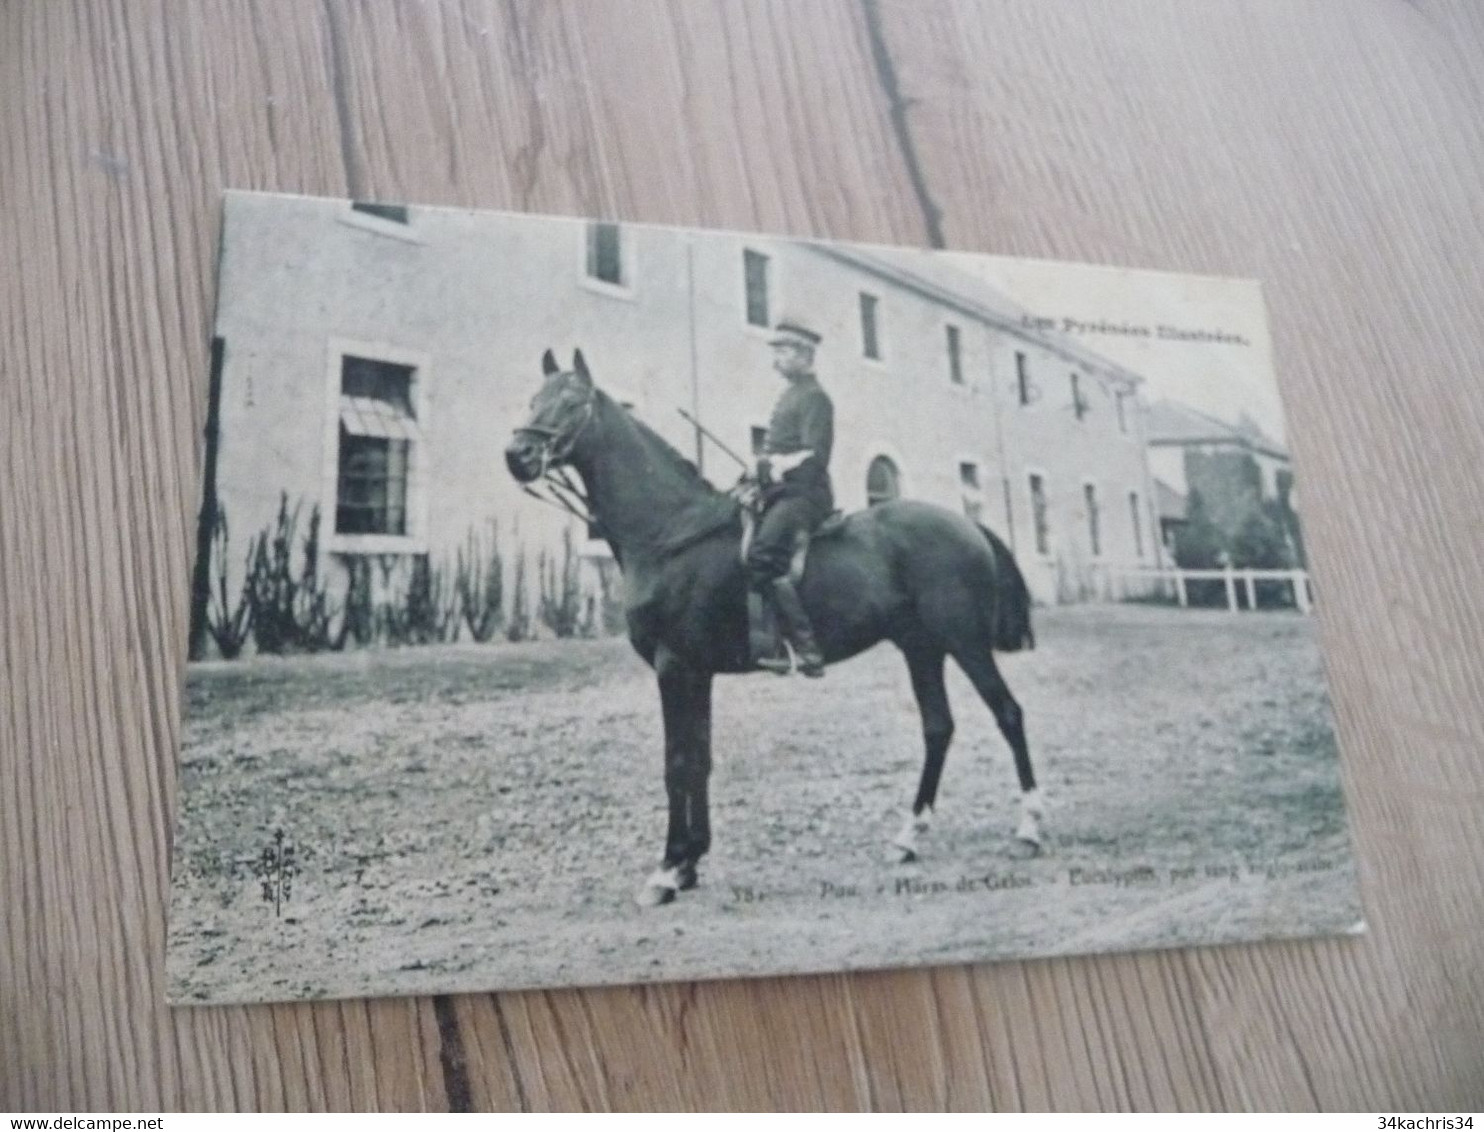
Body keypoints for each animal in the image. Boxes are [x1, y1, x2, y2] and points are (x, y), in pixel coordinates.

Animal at [504, 350, 1038, 907]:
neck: (670, 532)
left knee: (1008, 714)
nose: (517, 454)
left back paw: (1029, 828)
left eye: (571, 402)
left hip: (965, 643)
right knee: (938, 727)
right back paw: (908, 837)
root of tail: (968, 524)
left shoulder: (675, 667)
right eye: (533, 399)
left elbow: (677, 763)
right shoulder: (697, 673)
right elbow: (700, 760)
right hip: (921, 647)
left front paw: (667, 870)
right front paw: (690, 862)